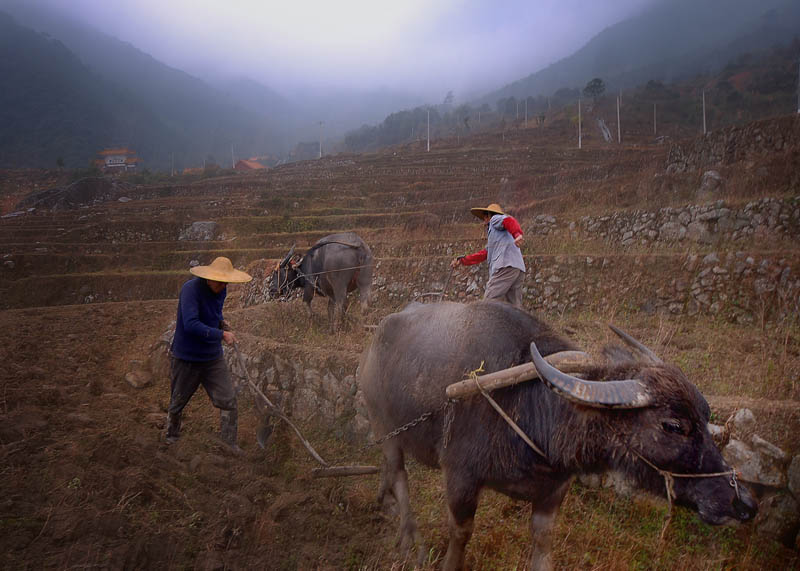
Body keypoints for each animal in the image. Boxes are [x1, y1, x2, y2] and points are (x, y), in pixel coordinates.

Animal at [360, 302, 760, 568]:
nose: (744, 504)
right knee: (400, 474)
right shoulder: (460, 478)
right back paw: (408, 536)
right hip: (386, 429)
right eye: (673, 426)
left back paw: (383, 500)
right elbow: (460, 533)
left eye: (706, 417)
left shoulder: (553, 493)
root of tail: (375, 343)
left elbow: (542, 542)